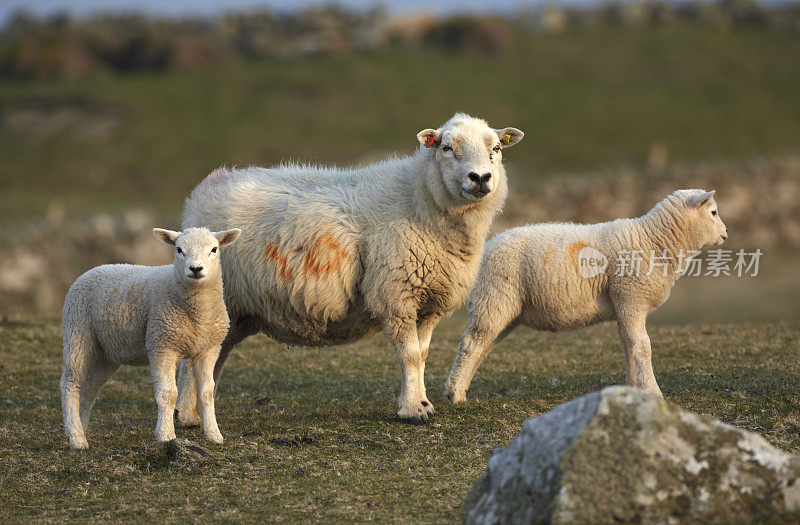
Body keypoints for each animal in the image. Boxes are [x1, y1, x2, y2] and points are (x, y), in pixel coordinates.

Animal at [59, 223, 241, 448]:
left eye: (214, 249)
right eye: (179, 249)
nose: (196, 269)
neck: (197, 314)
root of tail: (89, 271)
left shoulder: (208, 349)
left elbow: (206, 392)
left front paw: (214, 434)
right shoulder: (162, 344)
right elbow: (168, 394)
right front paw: (165, 435)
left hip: (106, 353)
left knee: (89, 390)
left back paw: (81, 430)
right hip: (77, 332)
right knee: (71, 384)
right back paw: (76, 438)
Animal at [175, 112, 524, 424]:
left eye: (496, 148)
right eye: (447, 148)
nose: (480, 178)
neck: (418, 198)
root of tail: (209, 186)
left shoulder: (428, 301)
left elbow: (422, 354)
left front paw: (419, 400)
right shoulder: (395, 294)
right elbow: (410, 355)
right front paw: (415, 410)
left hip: (237, 312)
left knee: (213, 356)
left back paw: (195, 413)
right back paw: (186, 416)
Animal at [446, 188, 728, 402]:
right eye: (713, 212)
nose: (725, 235)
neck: (653, 241)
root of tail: (487, 248)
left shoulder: (622, 304)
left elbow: (628, 346)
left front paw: (633, 388)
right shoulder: (630, 297)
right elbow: (641, 347)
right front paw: (653, 392)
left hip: (503, 308)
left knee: (482, 346)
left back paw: (461, 388)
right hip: (494, 297)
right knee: (471, 344)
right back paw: (456, 394)